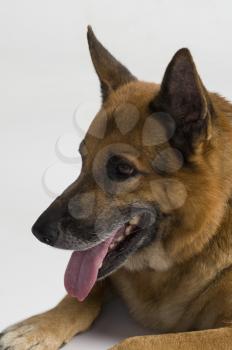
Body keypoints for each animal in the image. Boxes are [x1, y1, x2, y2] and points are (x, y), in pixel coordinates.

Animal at [1, 27, 232, 350]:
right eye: (82, 158)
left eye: (122, 169)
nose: (38, 232)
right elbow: (79, 294)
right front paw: (38, 325)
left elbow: (131, 341)